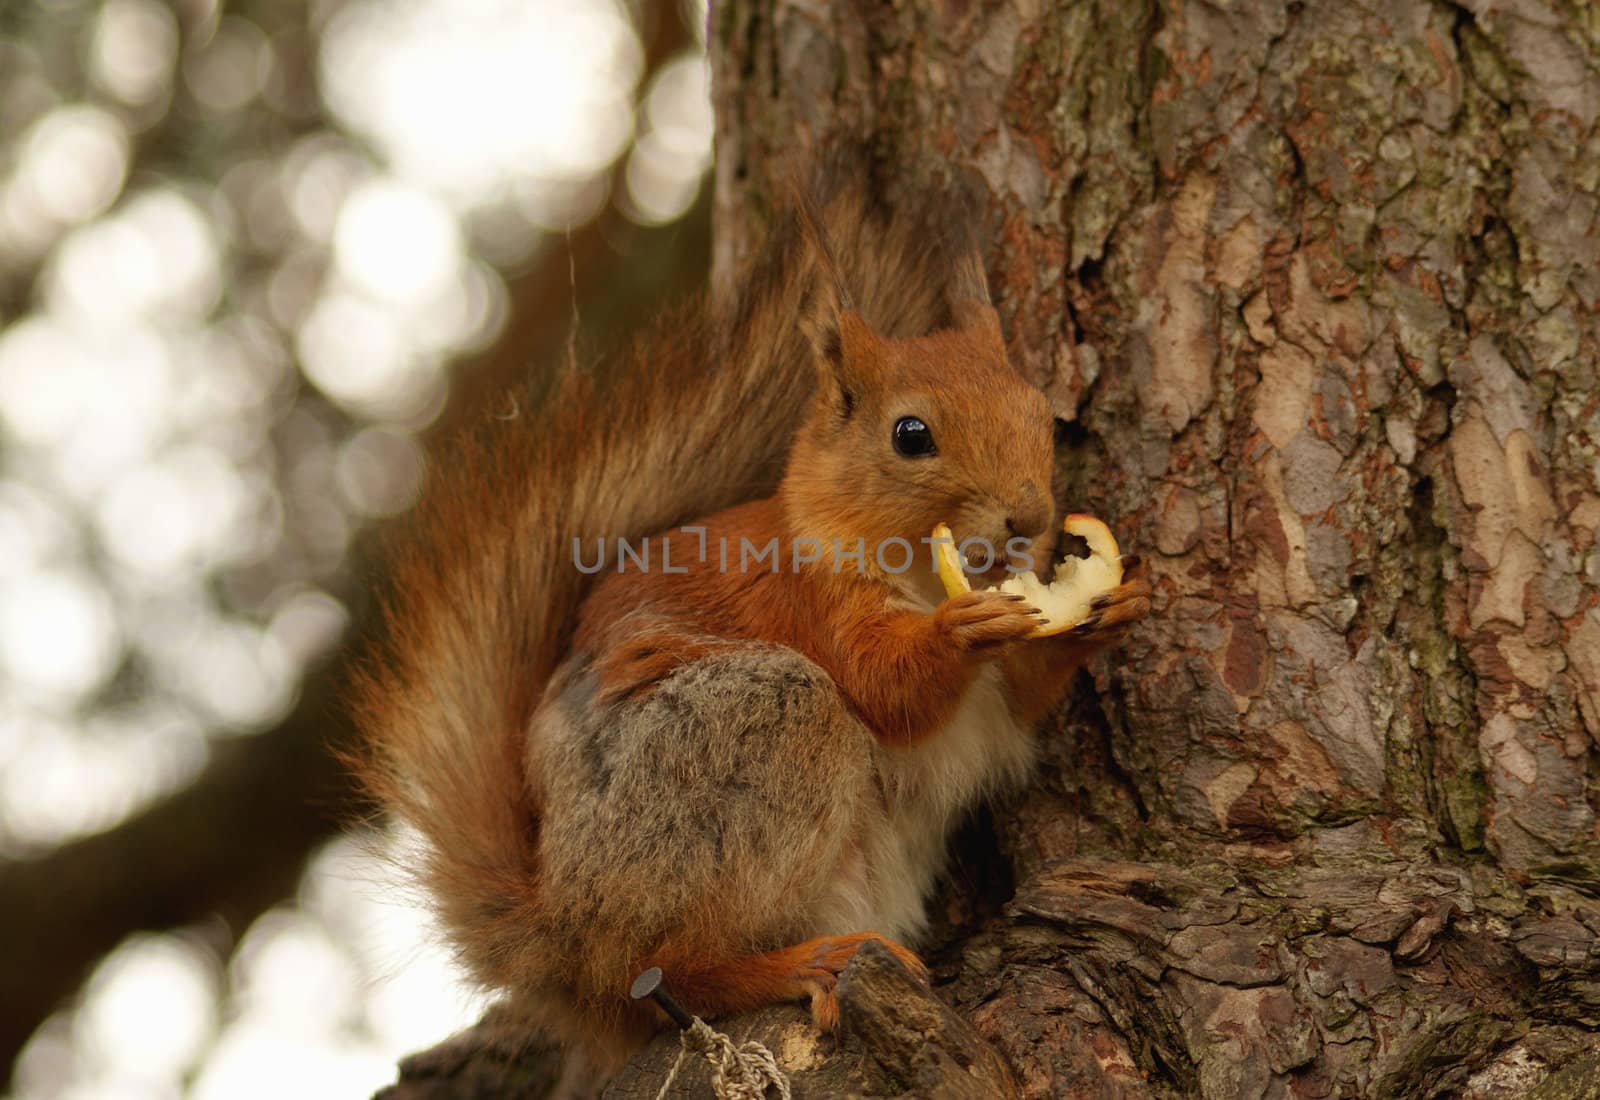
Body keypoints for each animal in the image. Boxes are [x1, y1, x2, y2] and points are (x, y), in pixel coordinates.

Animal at [350, 171, 1152, 1093]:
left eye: (1040, 413)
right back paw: (803, 965)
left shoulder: (1000, 688)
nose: (1028, 516)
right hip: (745, 742)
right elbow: (886, 689)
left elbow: (1021, 697)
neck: (916, 567)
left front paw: (1106, 613)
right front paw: (961, 630)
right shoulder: (813, 607)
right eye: (911, 434)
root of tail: (559, 931)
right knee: (668, 969)